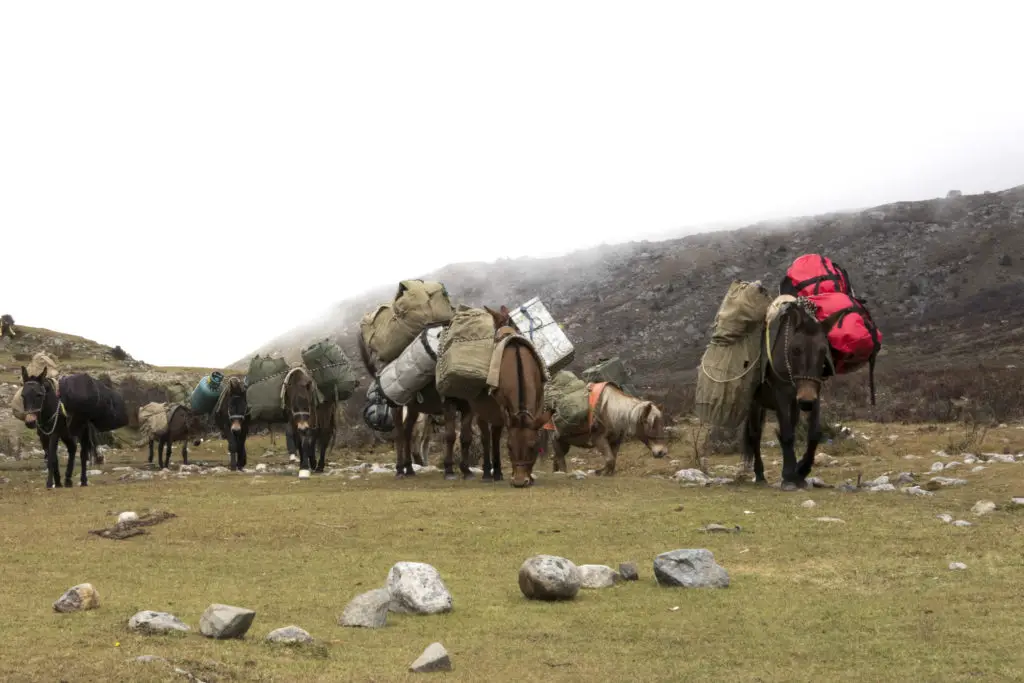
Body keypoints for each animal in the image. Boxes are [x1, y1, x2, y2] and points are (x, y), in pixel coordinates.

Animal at [356, 331, 475, 481]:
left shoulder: (469, 408)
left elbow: (466, 437)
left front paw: (466, 471)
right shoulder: (448, 406)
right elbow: (450, 436)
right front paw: (449, 470)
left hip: (414, 409)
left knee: (407, 432)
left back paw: (409, 468)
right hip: (398, 407)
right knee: (400, 435)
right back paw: (400, 470)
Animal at [471, 307, 552, 489]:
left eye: (533, 447)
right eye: (509, 447)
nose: (520, 481)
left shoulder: (538, 404)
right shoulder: (502, 407)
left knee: (493, 434)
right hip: (481, 411)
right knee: (486, 436)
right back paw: (488, 473)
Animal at [741, 296, 843, 489]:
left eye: (823, 350)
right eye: (795, 349)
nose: (806, 401)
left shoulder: (815, 395)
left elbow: (813, 434)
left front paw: (802, 470)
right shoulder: (781, 395)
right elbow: (787, 434)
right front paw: (789, 475)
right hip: (755, 404)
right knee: (755, 435)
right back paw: (760, 474)